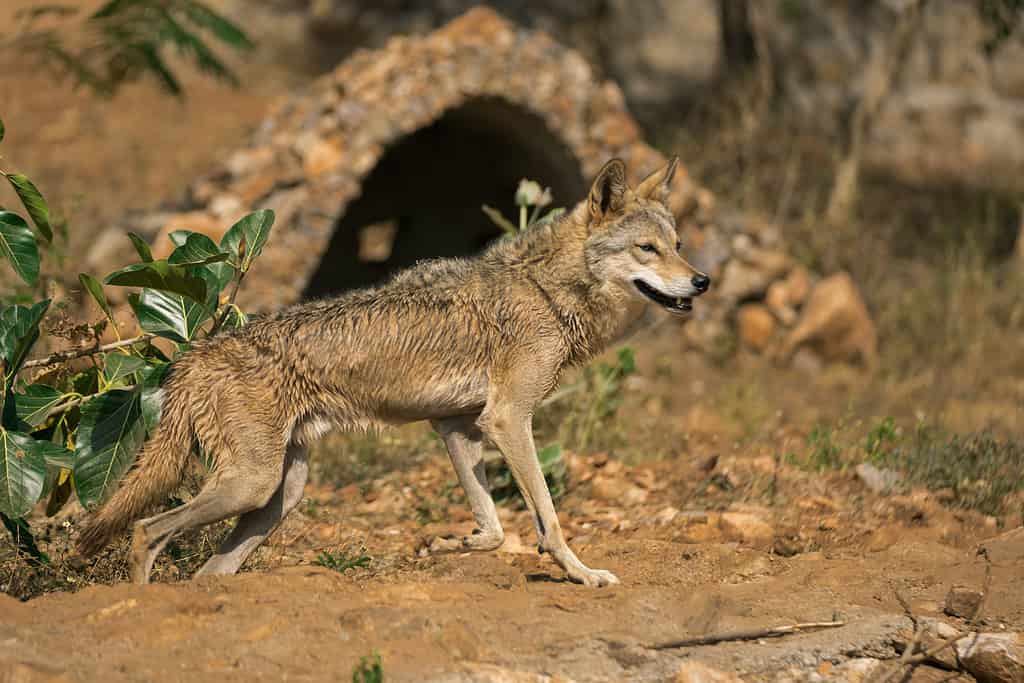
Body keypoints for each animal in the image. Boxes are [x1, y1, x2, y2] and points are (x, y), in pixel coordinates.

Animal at [75, 156, 712, 589]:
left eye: (679, 244)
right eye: (648, 249)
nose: (701, 280)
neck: (544, 290)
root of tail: (193, 357)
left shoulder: (458, 426)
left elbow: (495, 529)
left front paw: (448, 542)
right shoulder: (509, 420)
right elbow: (548, 520)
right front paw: (581, 574)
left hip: (279, 495)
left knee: (207, 571)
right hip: (249, 485)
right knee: (145, 532)